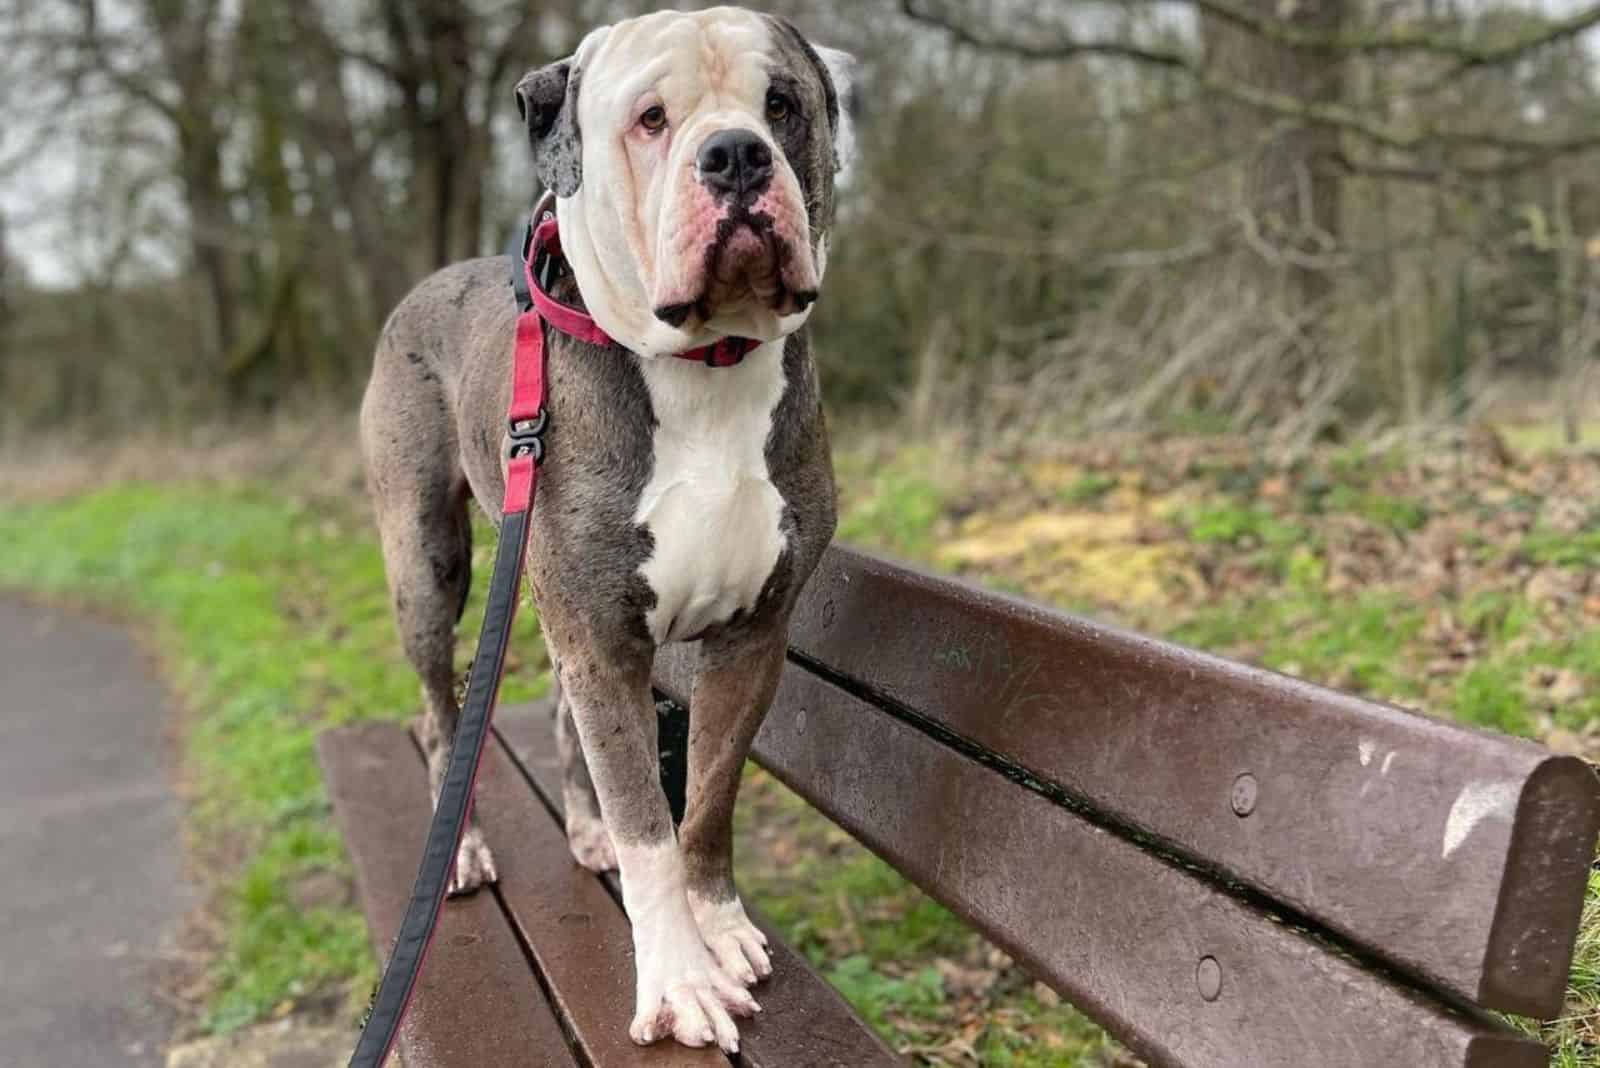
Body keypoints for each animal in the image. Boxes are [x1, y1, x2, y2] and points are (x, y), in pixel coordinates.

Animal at [358, 6, 857, 1048]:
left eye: (781, 104)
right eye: (652, 118)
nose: (736, 155)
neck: (706, 367)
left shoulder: (750, 640)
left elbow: (705, 798)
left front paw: (719, 924)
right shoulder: (602, 640)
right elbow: (648, 825)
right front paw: (679, 979)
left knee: (559, 717)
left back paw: (582, 831)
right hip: (431, 568)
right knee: (438, 710)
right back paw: (461, 850)